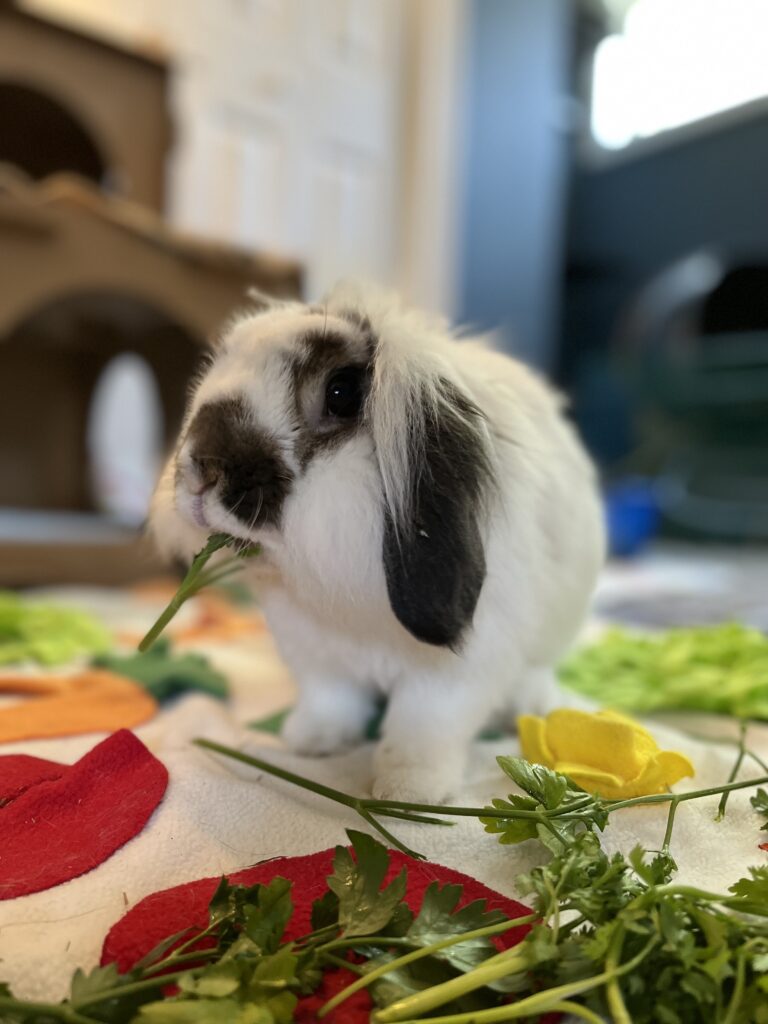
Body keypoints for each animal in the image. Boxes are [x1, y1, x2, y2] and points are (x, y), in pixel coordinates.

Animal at [150, 284, 606, 802]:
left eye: (342, 392)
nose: (201, 468)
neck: (348, 607)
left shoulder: (454, 673)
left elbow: (422, 728)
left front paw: (407, 791)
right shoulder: (316, 656)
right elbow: (332, 701)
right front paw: (311, 743)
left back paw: (537, 709)